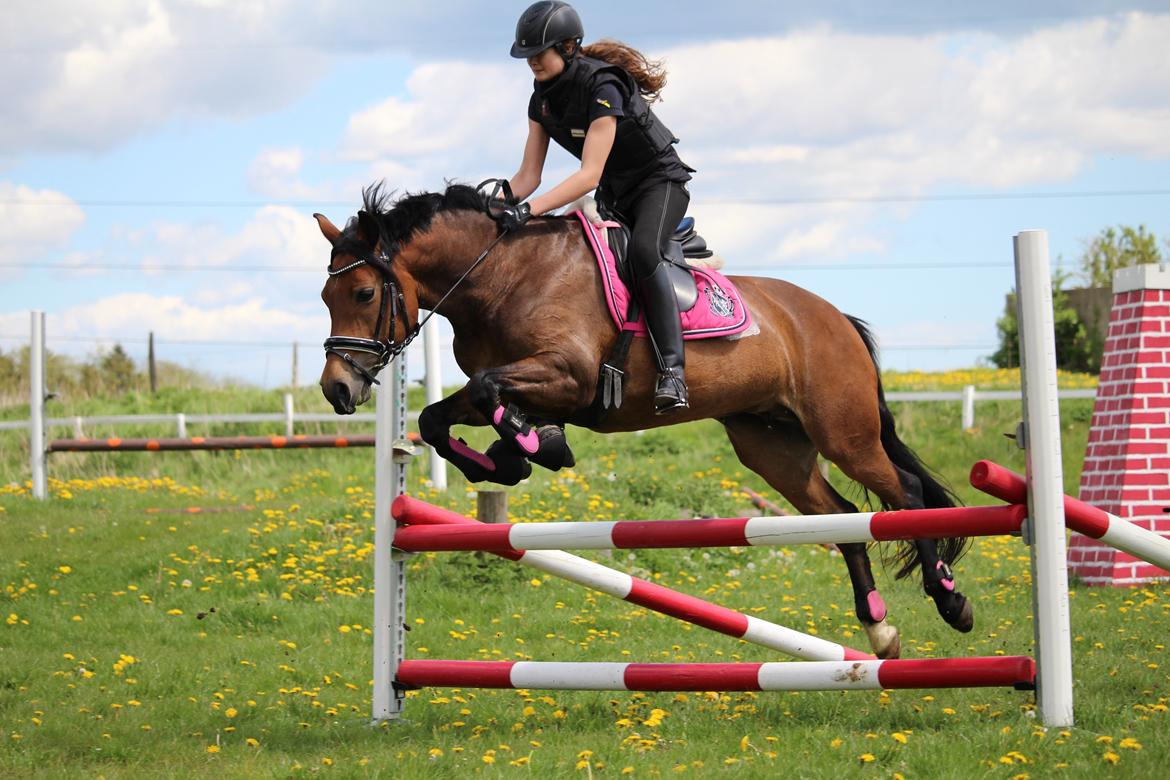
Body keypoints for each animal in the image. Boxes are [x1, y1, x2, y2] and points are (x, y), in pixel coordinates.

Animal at [315, 183, 973, 659]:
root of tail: (835, 317)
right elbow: (436, 418)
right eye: (326, 298)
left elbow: (488, 388)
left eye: (366, 293)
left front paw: (535, 445)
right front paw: (513, 457)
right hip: (773, 448)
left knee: (906, 495)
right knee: (843, 519)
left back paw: (950, 601)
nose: (338, 389)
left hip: (844, 434)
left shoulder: (569, 375)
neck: (500, 277)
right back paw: (879, 630)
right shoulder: (511, 388)